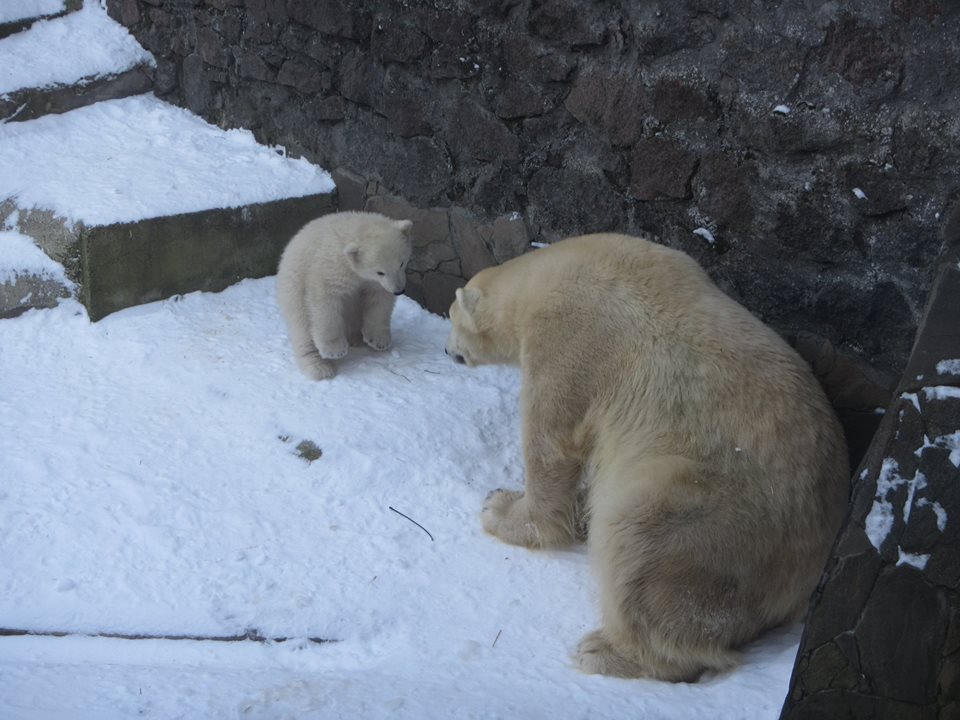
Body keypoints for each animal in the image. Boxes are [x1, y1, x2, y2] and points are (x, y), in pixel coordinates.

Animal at [444, 232, 848, 680]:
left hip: (712, 515)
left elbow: (552, 441)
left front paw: (500, 507)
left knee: (640, 540)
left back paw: (605, 650)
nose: (446, 351)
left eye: (450, 318)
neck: (554, 270)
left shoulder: (571, 336)